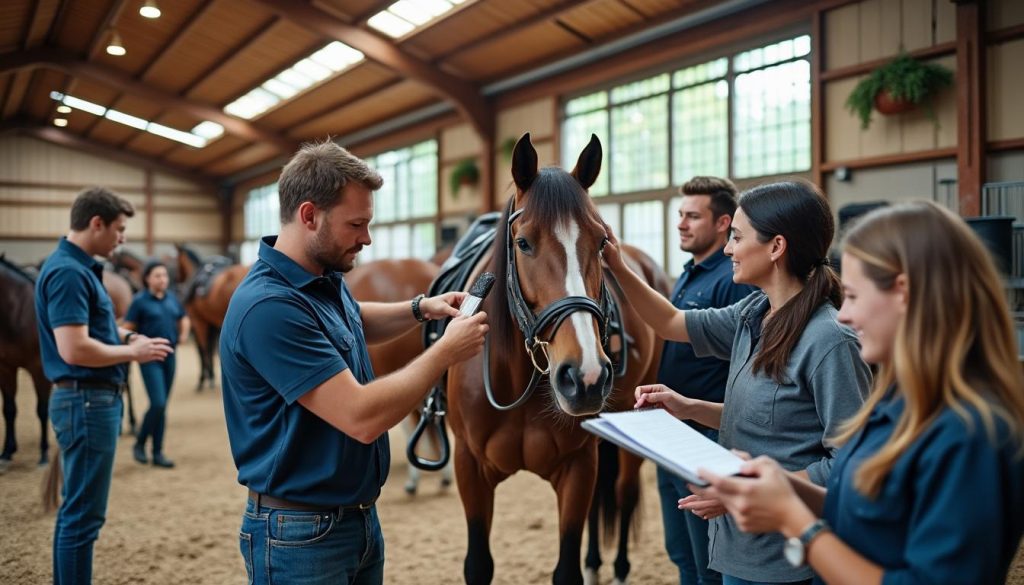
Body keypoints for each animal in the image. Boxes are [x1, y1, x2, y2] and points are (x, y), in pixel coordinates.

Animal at [175, 244, 249, 391]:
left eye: (176, 261)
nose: (177, 280)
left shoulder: (198, 322)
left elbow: (202, 350)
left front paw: (203, 379)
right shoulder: (212, 324)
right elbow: (209, 349)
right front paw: (211, 377)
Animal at [445, 133, 669, 585]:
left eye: (601, 242)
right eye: (523, 242)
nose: (585, 376)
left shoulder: (578, 466)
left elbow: (567, 568)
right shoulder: (468, 467)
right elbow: (478, 565)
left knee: (623, 490)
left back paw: (618, 567)